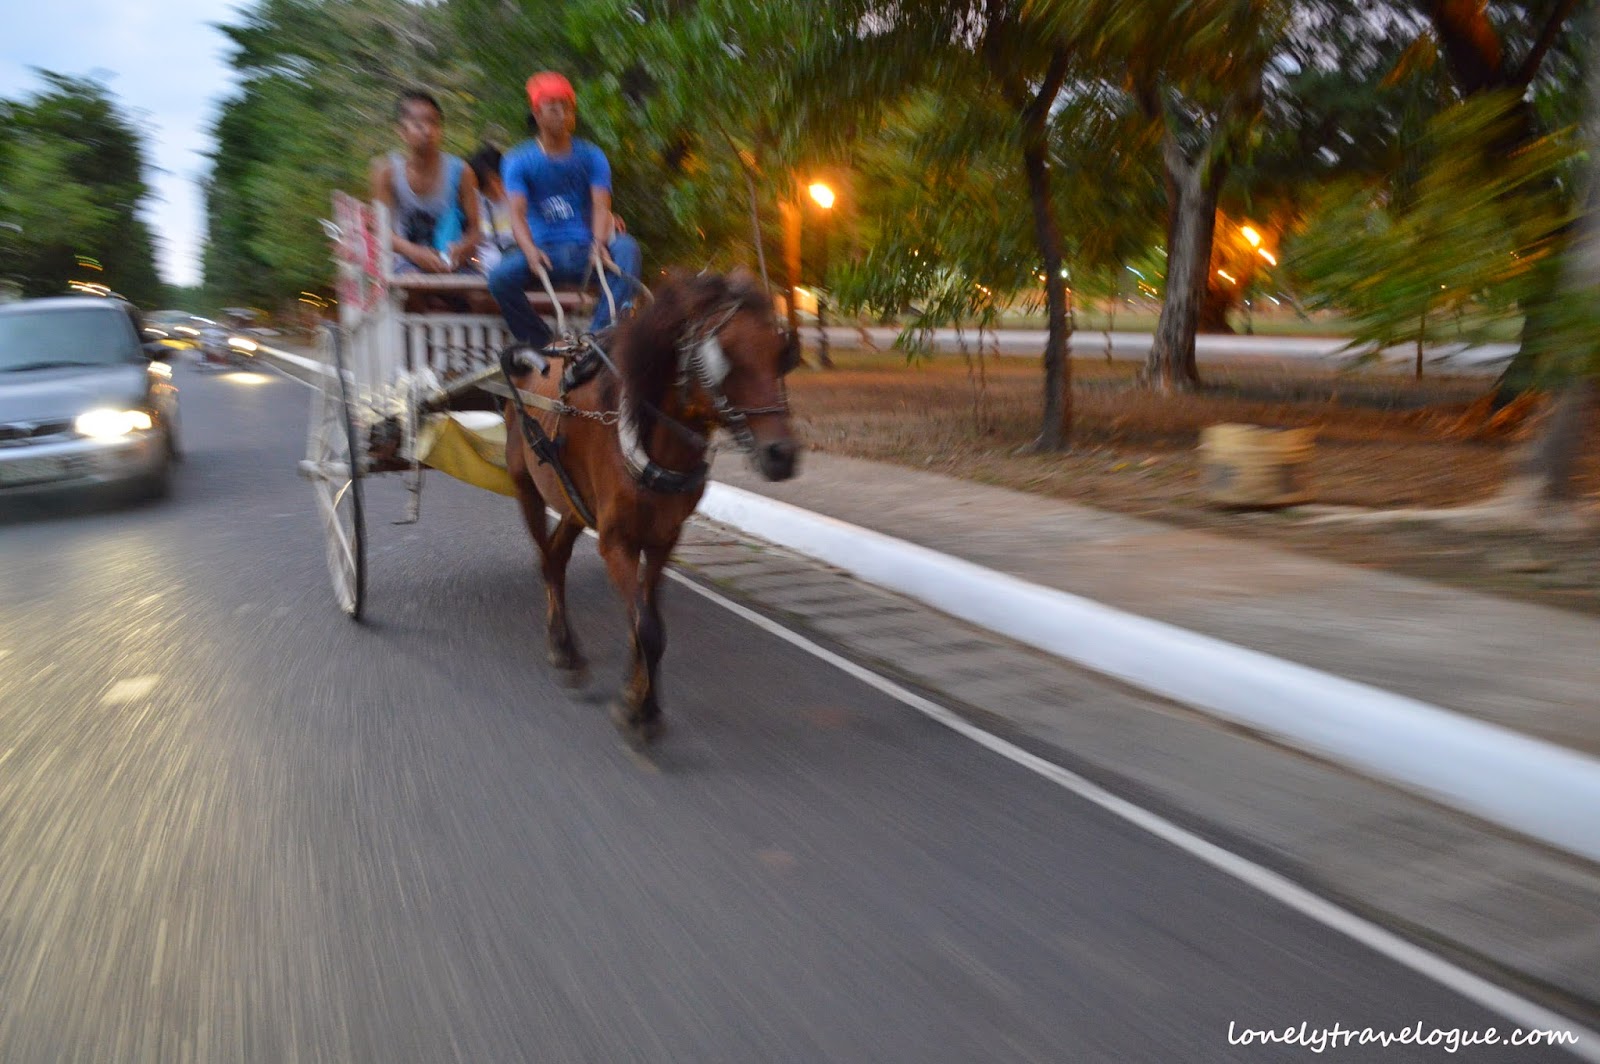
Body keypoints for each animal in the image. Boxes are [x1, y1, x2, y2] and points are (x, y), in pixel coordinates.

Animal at [502, 270, 800, 742]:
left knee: (557, 555)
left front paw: (640, 696)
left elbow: (649, 623)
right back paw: (563, 648)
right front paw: (636, 709)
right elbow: (645, 627)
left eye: (781, 353)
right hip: (525, 485)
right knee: (546, 561)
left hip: (572, 503)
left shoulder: (663, 539)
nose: (781, 456)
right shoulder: (616, 542)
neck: (647, 439)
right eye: (725, 358)